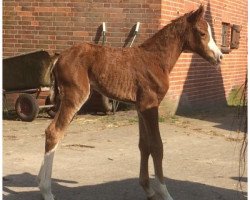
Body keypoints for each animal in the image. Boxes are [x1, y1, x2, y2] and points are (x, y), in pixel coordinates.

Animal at [38, 5, 223, 199]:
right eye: (202, 33)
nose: (219, 56)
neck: (156, 59)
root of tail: (59, 58)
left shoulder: (141, 107)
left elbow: (144, 145)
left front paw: (148, 189)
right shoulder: (151, 104)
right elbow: (157, 146)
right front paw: (164, 192)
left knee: (55, 133)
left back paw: (40, 183)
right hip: (75, 96)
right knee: (54, 132)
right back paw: (46, 191)